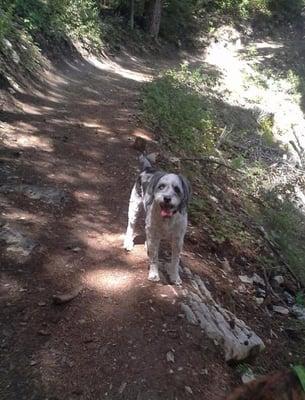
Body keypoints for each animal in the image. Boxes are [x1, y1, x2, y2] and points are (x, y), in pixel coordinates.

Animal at [121, 155, 189, 284]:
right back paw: (128, 243)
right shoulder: (153, 232)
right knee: (131, 226)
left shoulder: (178, 239)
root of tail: (148, 169)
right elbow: (154, 257)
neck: (168, 219)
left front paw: (175, 276)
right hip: (134, 208)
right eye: (161, 186)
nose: (167, 198)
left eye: (177, 189)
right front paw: (154, 274)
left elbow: (175, 260)